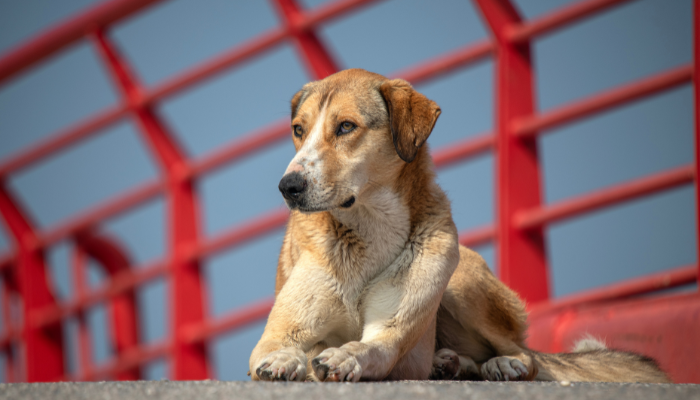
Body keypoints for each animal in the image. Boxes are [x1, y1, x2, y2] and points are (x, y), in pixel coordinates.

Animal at [249, 68, 668, 382]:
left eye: (346, 127)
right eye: (299, 130)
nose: (288, 186)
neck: (370, 230)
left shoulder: (390, 333)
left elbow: (367, 347)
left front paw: (343, 357)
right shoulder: (280, 332)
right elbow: (281, 349)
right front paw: (287, 361)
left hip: (460, 282)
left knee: (527, 357)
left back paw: (501, 364)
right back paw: (447, 363)